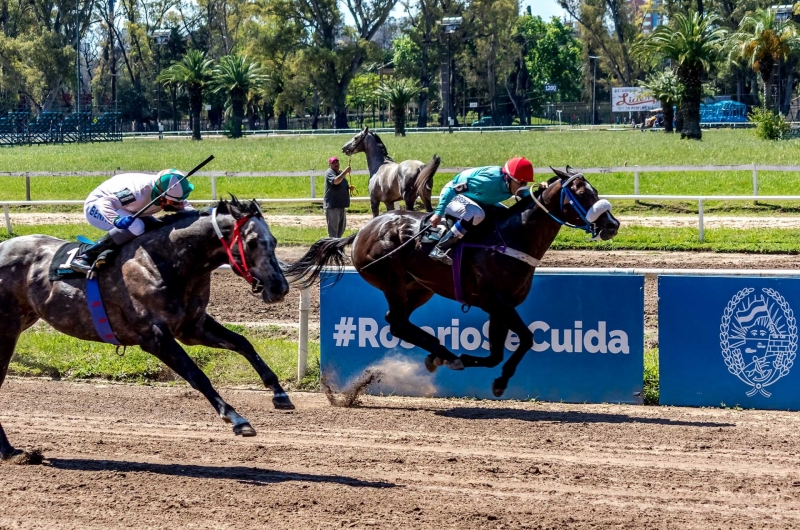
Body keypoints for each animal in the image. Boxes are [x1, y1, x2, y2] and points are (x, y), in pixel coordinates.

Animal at [0, 196, 294, 460]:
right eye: (252, 242)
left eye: (274, 242)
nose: (279, 288)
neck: (165, 263)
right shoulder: (154, 337)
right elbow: (197, 375)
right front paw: (236, 418)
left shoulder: (192, 327)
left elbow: (243, 343)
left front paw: (279, 393)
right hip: (8, 329)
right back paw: (10, 451)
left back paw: (10, 451)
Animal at [288, 167, 620, 394]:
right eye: (582, 194)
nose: (612, 225)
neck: (512, 237)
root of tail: (361, 232)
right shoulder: (496, 302)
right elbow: (526, 338)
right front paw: (493, 377)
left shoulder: (500, 307)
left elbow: (496, 354)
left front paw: (490, 375)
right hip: (392, 278)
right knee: (398, 322)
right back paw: (442, 352)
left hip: (419, 287)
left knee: (397, 321)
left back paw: (438, 354)